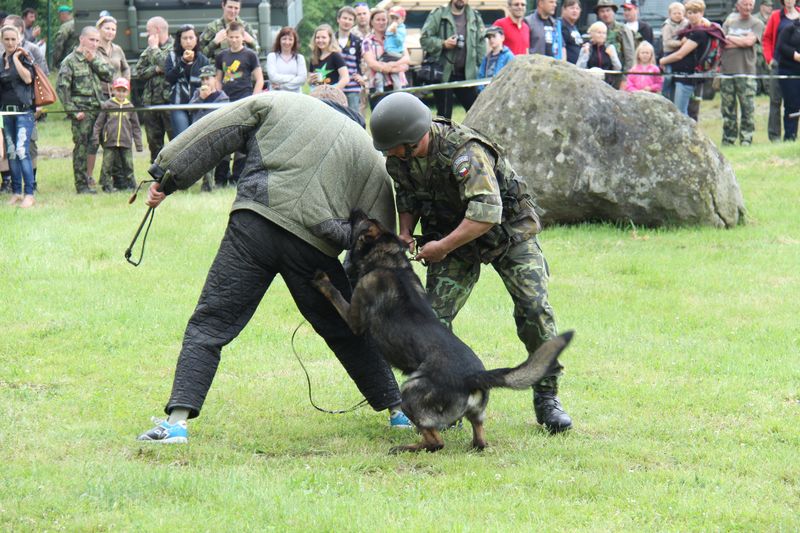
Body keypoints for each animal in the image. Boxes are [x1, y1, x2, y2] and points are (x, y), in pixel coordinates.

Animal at [310, 210, 568, 450]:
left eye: (361, 220)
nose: (356, 210)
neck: (392, 263)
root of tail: (474, 376)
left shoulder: (354, 318)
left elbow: (335, 294)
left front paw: (322, 281)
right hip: (474, 416)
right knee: (479, 438)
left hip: (410, 390)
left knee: (436, 442)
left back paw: (407, 447)